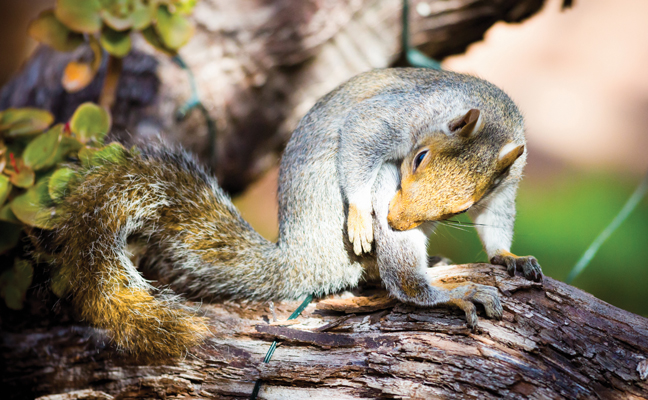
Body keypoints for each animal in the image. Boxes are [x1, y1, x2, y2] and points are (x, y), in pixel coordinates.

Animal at [40, 67, 540, 358]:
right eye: (417, 159)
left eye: (463, 204)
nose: (396, 221)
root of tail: (303, 255)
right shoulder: (390, 116)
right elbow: (358, 139)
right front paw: (359, 215)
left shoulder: (505, 184)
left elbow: (496, 220)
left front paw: (508, 257)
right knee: (398, 280)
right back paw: (443, 290)